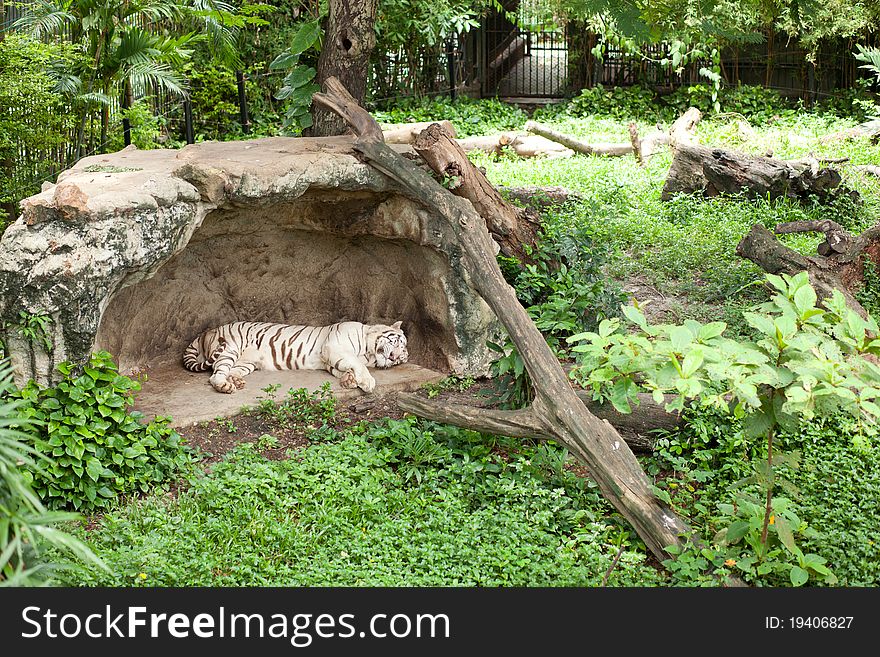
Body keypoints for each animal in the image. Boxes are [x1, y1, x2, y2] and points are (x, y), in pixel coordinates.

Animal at [184, 320, 410, 392]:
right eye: (396, 342)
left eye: (400, 359)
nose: (394, 357)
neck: (368, 352)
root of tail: (208, 331)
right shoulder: (334, 347)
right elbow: (356, 364)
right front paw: (367, 382)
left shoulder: (329, 360)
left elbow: (341, 369)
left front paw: (348, 380)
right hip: (229, 350)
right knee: (215, 374)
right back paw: (225, 385)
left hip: (246, 362)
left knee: (230, 371)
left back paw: (236, 381)